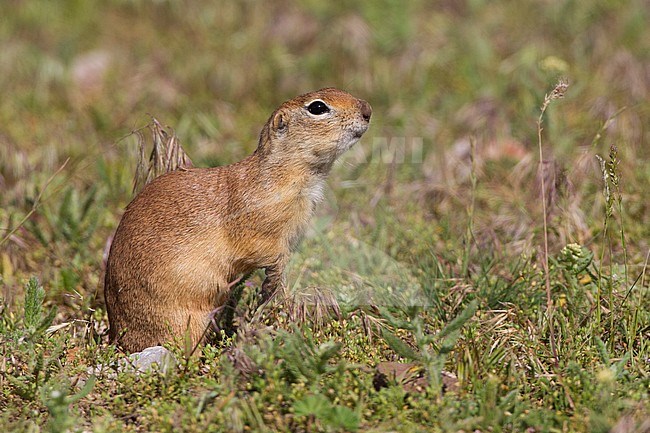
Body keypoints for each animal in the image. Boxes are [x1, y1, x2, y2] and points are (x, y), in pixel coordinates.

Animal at [104, 88, 372, 352]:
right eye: (317, 107)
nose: (368, 109)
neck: (283, 173)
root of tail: (118, 339)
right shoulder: (257, 226)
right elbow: (266, 252)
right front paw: (274, 286)